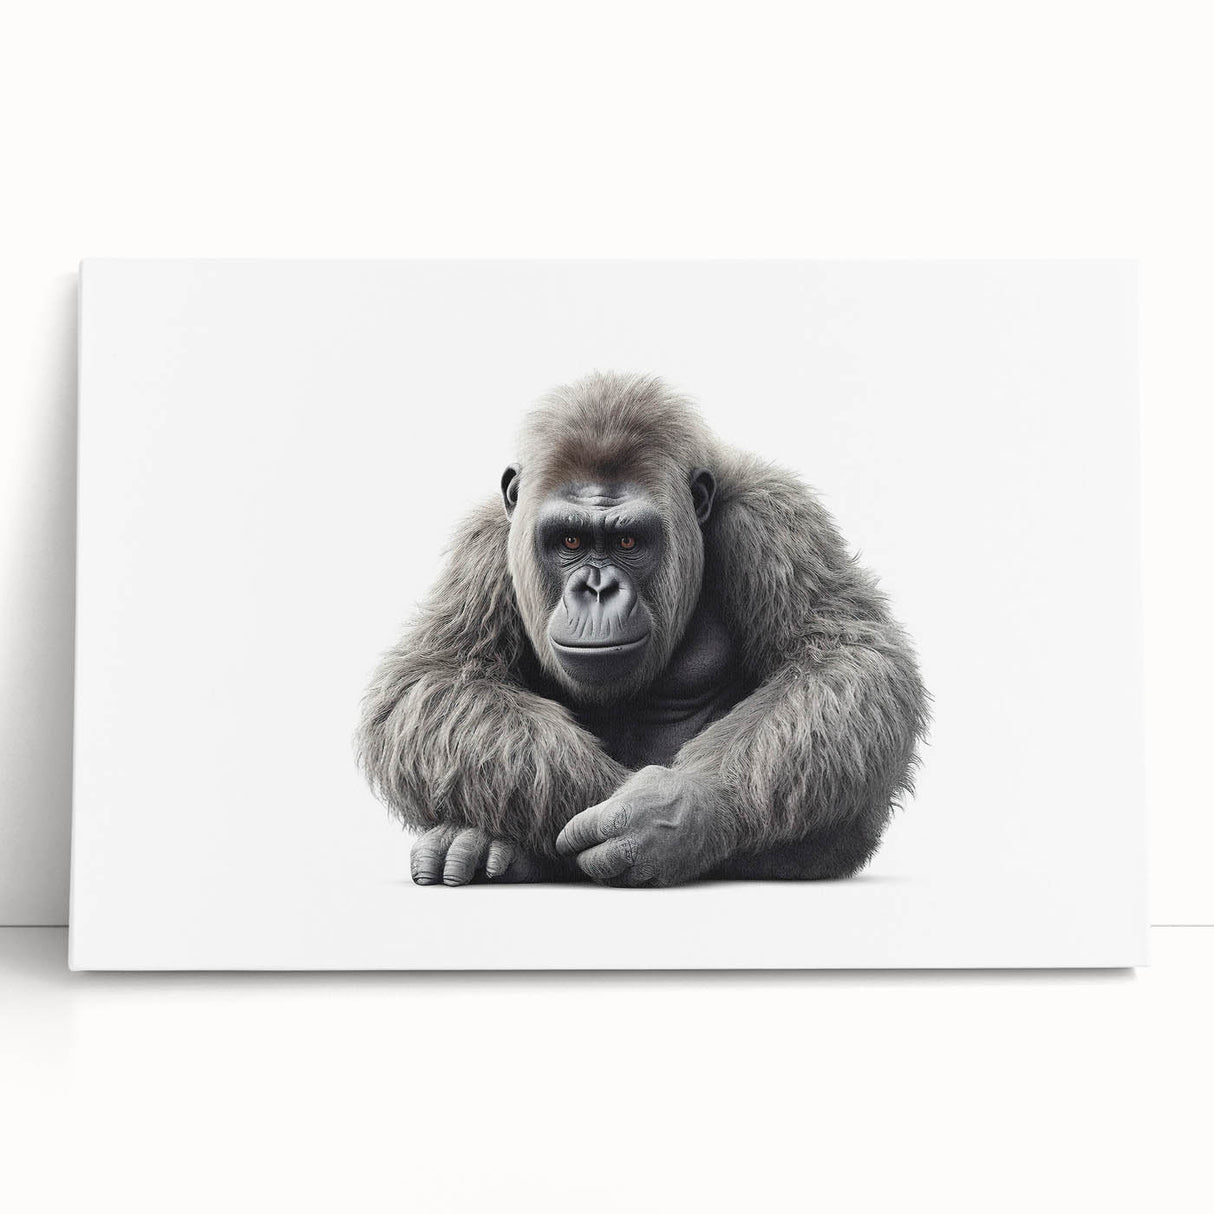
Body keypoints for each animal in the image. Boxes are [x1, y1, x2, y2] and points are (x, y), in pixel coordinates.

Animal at [356, 372, 929, 887]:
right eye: (569, 540)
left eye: (628, 542)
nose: (598, 588)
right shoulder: (485, 543)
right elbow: (436, 679)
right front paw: (595, 807)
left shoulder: (773, 517)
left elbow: (844, 659)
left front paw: (675, 812)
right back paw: (481, 844)